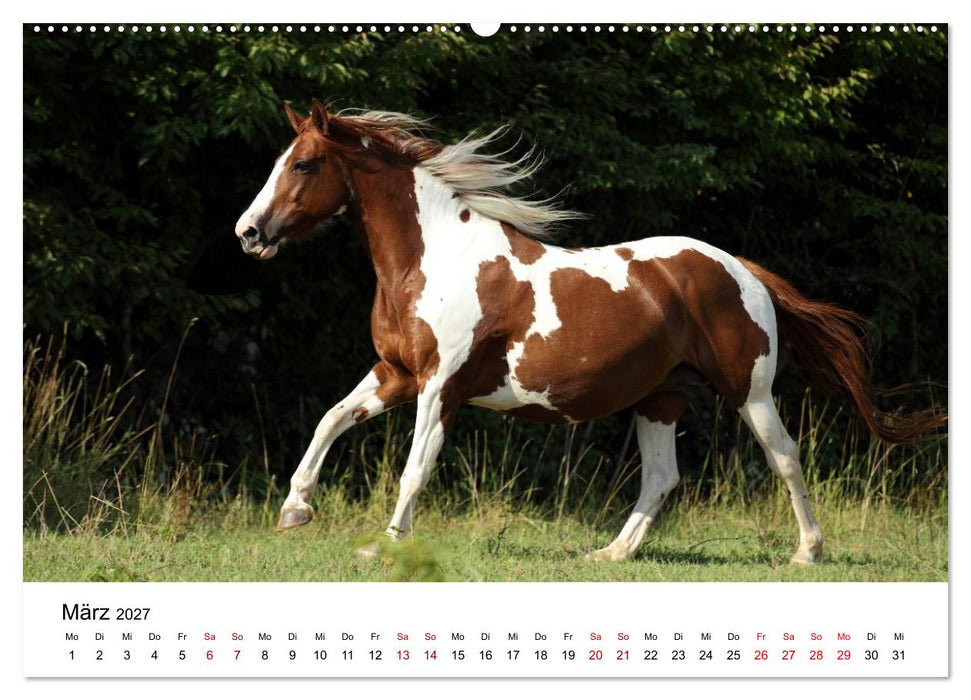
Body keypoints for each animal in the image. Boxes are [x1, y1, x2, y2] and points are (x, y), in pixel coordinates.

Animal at [234, 99, 943, 564]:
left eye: (303, 165)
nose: (248, 232)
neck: (432, 259)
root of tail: (742, 269)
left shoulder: (440, 386)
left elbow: (414, 468)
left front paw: (385, 546)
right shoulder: (396, 375)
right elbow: (330, 419)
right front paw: (294, 510)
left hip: (749, 391)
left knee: (785, 457)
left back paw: (808, 552)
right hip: (661, 397)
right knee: (662, 479)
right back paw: (609, 554)